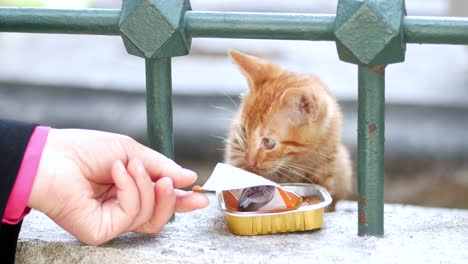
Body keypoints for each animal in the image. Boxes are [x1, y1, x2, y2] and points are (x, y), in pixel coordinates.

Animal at [224, 49, 352, 210]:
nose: (250, 161)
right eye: (244, 132)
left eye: (269, 142)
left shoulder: (326, 165)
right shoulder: (236, 151)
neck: (297, 158)